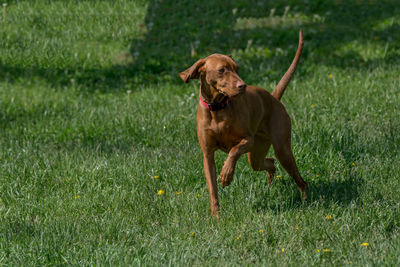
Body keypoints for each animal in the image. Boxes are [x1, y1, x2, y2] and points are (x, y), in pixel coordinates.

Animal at [180, 30, 308, 218]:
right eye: (222, 70)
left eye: (237, 68)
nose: (243, 85)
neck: (217, 109)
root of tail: (273, 98)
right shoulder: (207, 155)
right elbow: (213, 190)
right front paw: (216, 217)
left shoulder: (248, 140)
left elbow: (233, 151)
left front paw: (226, 174)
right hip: (256, 156)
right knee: (269, 163)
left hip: (282, 150)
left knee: (300, 180)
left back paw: (306, 200)